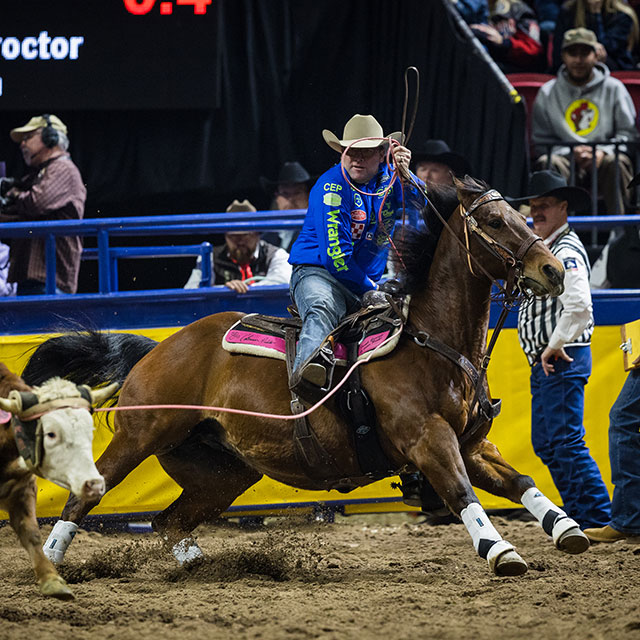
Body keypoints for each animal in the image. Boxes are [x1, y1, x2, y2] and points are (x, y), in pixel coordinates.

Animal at [25, 175, 588, 576]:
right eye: (494, 219)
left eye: (521, 214)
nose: (554, 270)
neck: (430, 343)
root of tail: (158, 347)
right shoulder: (428, 439)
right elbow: (461, 494)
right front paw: (500, 550)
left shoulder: (471, 442)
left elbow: (520, 481)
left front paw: (567, 528)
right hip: (139, 436)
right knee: (85, 496)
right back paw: (49, 564)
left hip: (224, 470)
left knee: (169, 520)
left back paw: (198, 565)